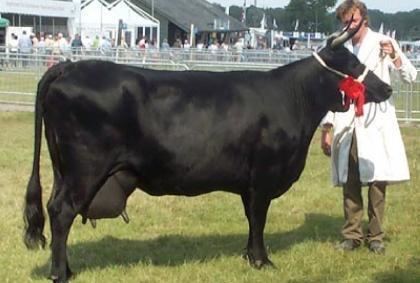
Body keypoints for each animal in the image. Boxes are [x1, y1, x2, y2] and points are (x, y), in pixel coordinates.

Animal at [23, 22, 390, 283]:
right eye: (352, 63)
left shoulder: (249, 183)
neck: (293, 99)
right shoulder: (263, 177)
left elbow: (251, 219)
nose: (386, 88)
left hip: (64, 170)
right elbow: (259, 219)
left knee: (56, 209)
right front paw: (262, 260)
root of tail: (69, 66)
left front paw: (248, 256)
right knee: (61, 212)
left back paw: (67, 268)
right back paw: (59, 273)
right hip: (85, 169)